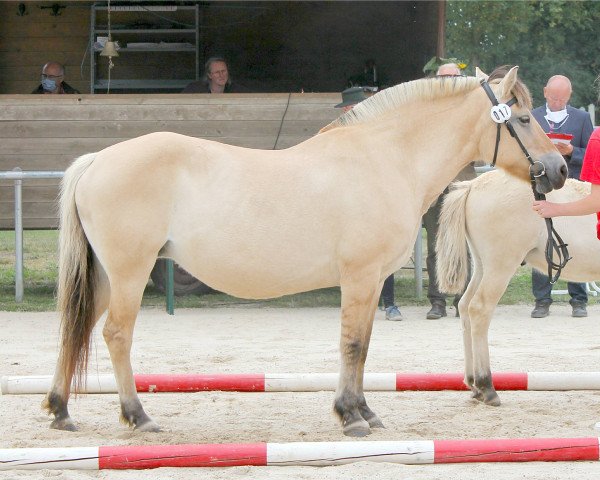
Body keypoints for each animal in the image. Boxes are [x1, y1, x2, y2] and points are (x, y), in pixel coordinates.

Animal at [44, 67, 564, 438]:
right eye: (522, 119)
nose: (558, 169)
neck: (385, 158)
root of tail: (98, 159)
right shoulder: (360, 277)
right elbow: (352, 344)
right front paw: (350, 416)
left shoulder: (373, 281)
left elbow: (363, 345)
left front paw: (365, 411)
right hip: (130, 273)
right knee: (115, 335)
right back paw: (138, 416)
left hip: (106, 275)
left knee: (77, 328)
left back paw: (61, 410)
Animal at [436, 168, 600, 404]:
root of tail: (473, 185)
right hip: (501, 266)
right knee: (479, 309)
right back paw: (486, 386)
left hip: (482, 265)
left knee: (465, 307)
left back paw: (474, 383)